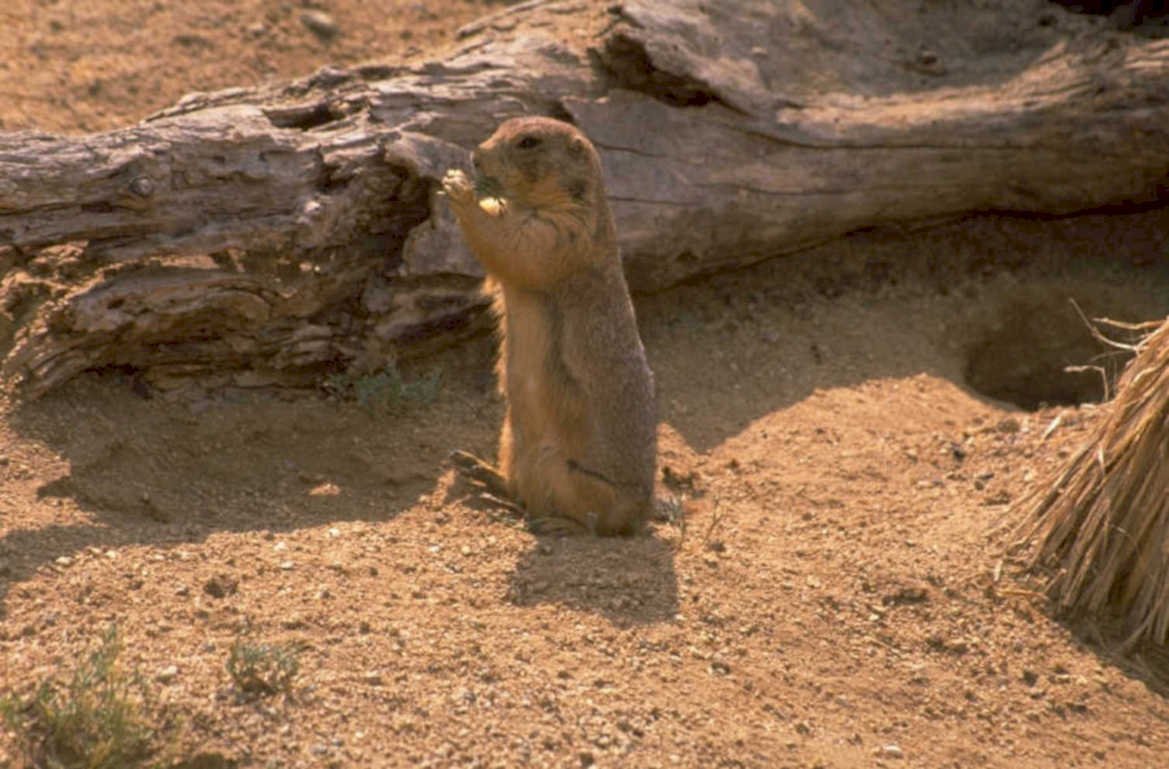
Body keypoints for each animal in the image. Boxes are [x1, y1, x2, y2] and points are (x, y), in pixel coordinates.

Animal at [441, 116, 656, 536]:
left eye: (529, 142)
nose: (475, 157)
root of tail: (644, 513)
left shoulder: (563, 233)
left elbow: (515, 248)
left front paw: (459, 188)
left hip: (561, 469)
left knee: (590, 522)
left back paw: (557, 524)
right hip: (510, 439)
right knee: (517, 491)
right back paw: (477, 470)